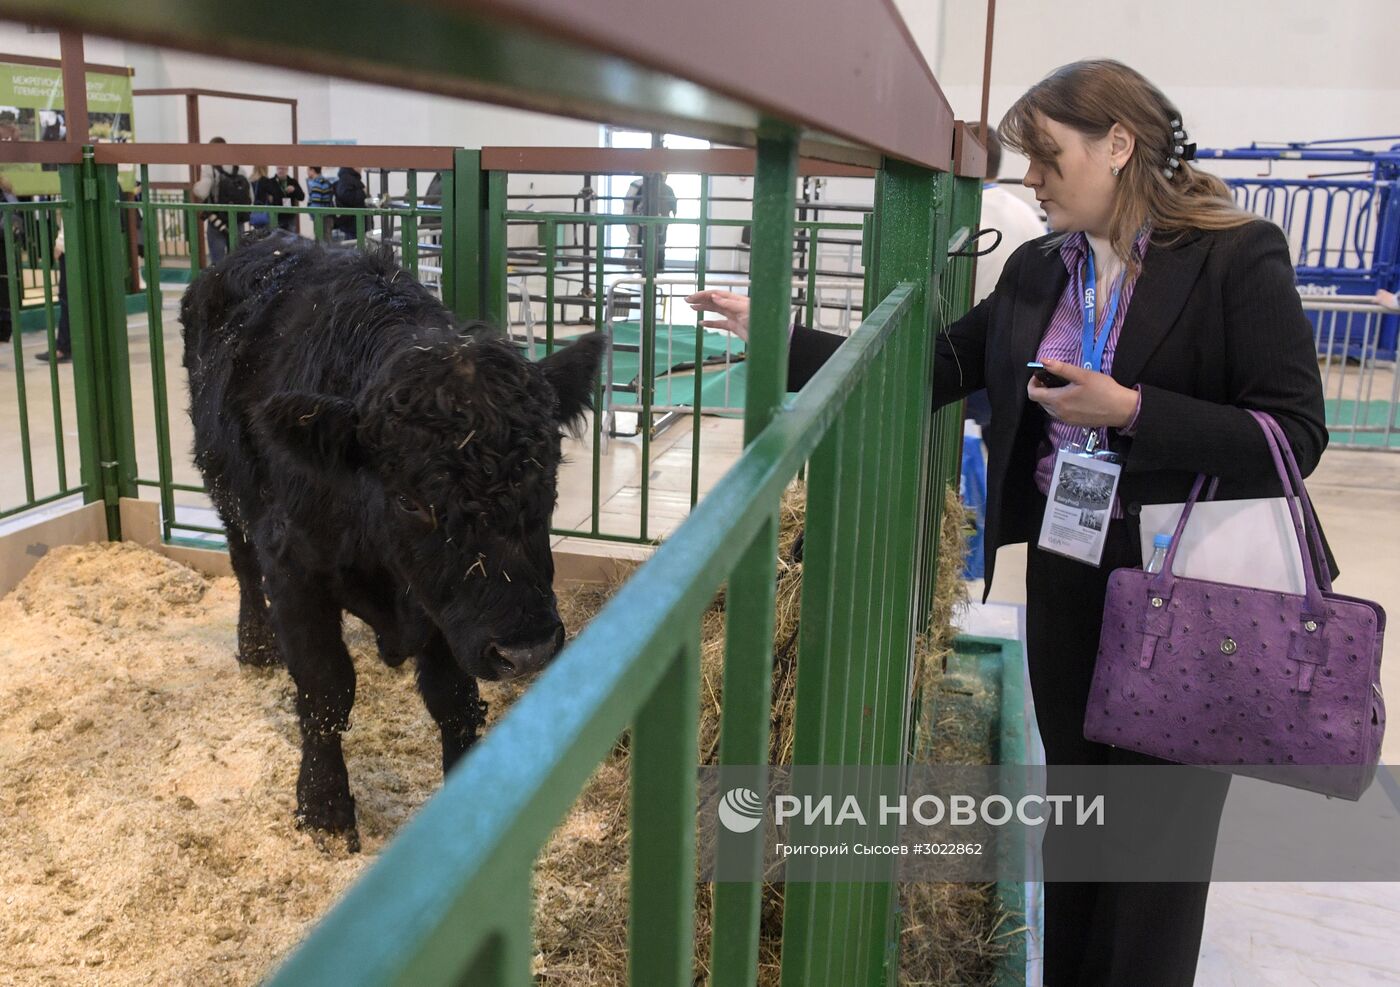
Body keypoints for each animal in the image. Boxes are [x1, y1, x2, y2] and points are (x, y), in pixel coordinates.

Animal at [179, 226, 602, 845]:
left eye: (547, 475)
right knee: (240, 561)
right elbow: (326, 688)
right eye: (410, 501)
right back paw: (257, 645)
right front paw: (324, 808)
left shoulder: (446, 609)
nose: (527, 651)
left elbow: (455, 700)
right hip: (222, 482)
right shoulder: (293, 567)